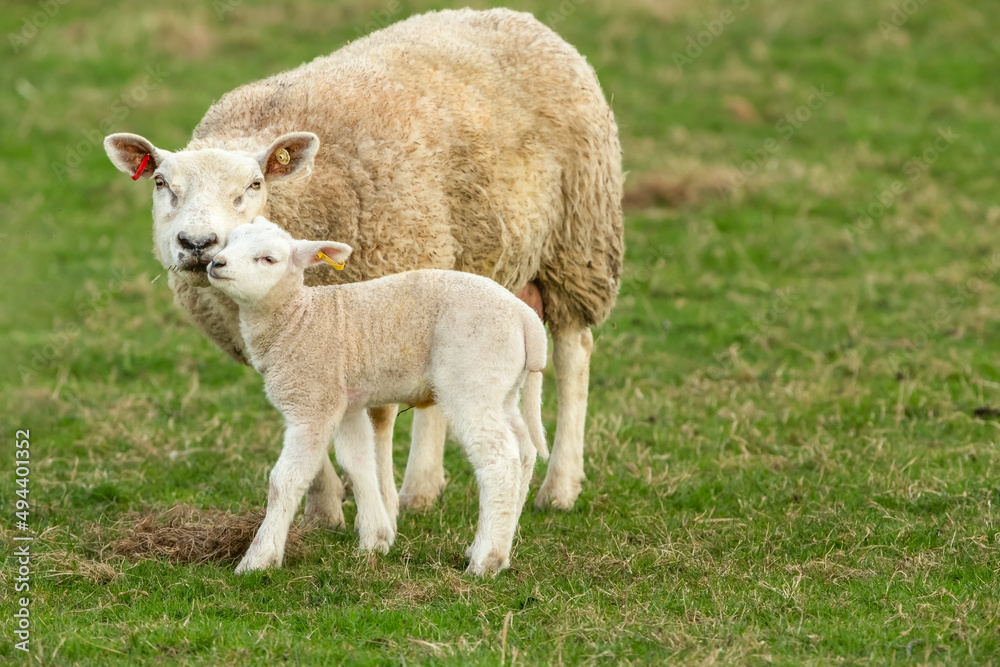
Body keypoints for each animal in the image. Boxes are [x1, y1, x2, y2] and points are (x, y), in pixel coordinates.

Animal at [105, 9, 624, 528]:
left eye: (254, 185)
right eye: (160, 183)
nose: (197, 244)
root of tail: (513, 16)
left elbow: (378, 419)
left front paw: (379, 508)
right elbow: (303, 414)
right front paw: (324, 509)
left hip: (577, 242)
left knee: (573, 352)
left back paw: (559, 487)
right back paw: (422, 488)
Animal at [211, 218, 552, 576]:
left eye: (268, 259)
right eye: (229, 242)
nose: (216, 263)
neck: (298, 319)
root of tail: (526, 318)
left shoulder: (313, 402)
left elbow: (285, 480)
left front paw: (258, 559)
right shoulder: (346, 401)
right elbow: (358, 463)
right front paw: (375, 540)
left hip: (473, 380)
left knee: (500, 460)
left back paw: (486, 560)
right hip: (502, 388)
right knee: (525, 450)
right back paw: (498, 547)